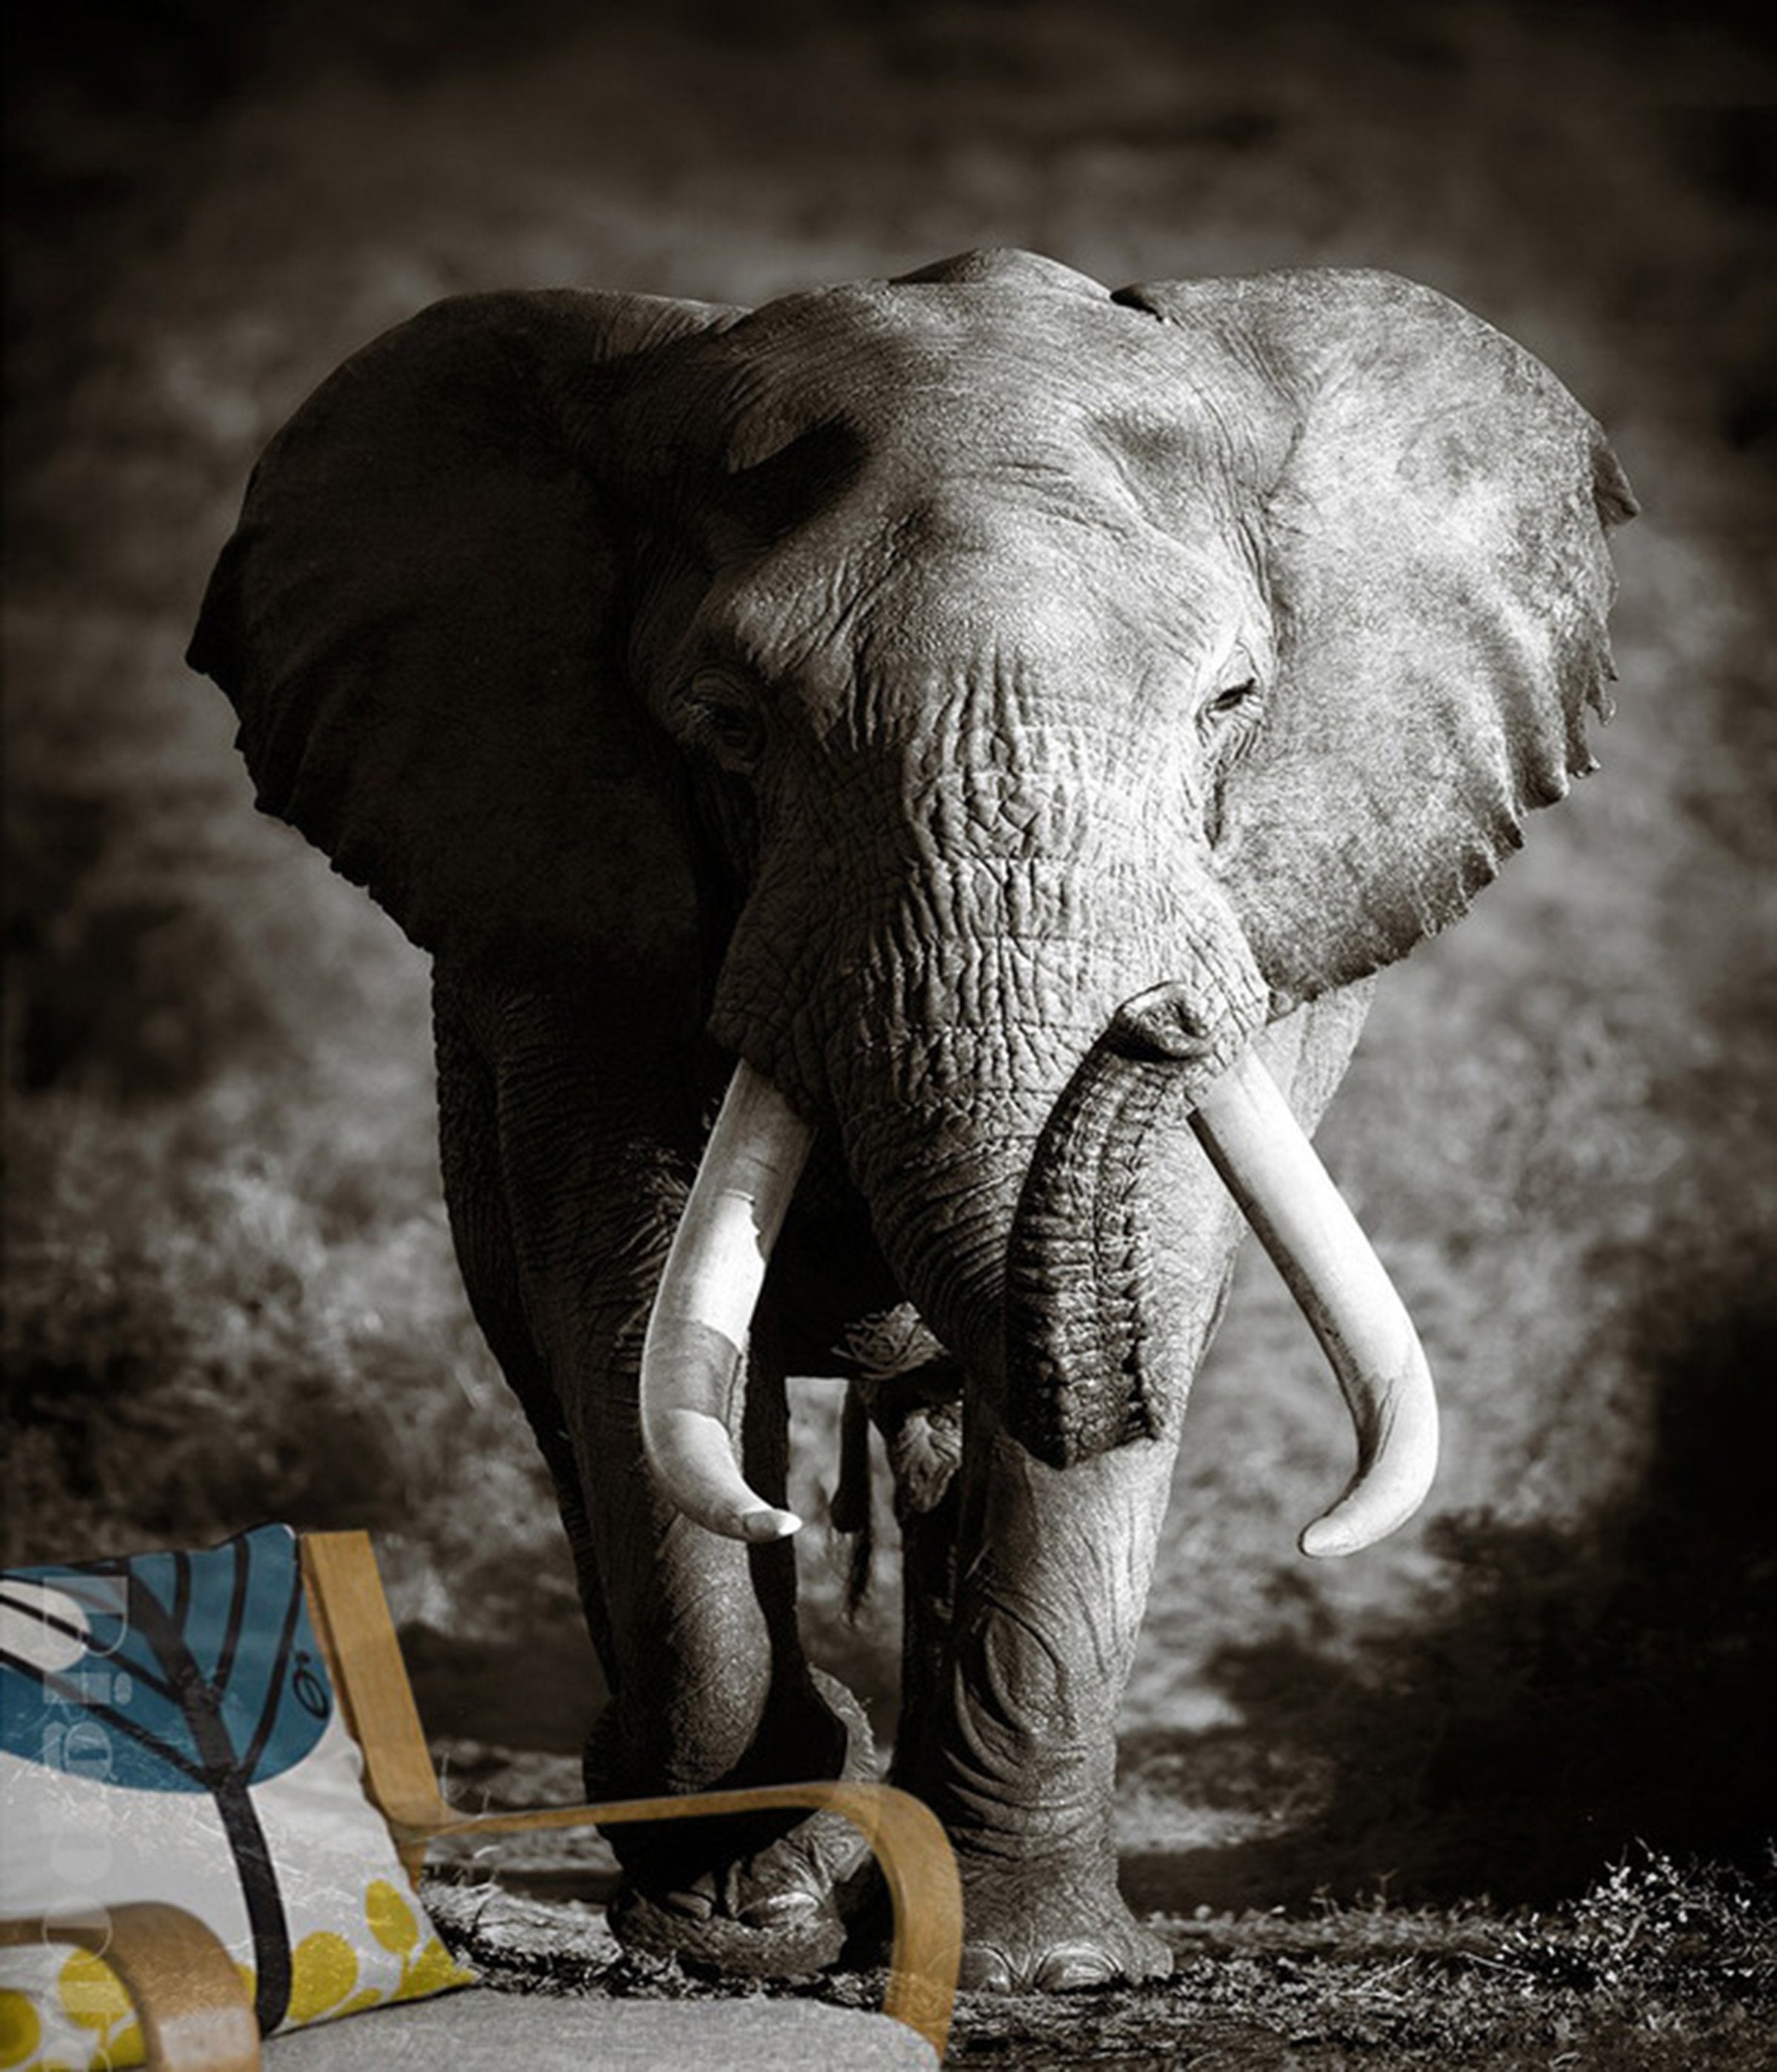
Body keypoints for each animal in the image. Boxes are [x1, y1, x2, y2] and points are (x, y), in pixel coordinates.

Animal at [188, 247, 1635, 1992]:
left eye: (1232, 704)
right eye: (730, 724)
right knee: (557, 1374)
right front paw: (752, 1921)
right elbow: (627, 1292)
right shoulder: (561, 905)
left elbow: (1159, 1266)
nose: (1160, 1016)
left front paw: (1041, 1963)